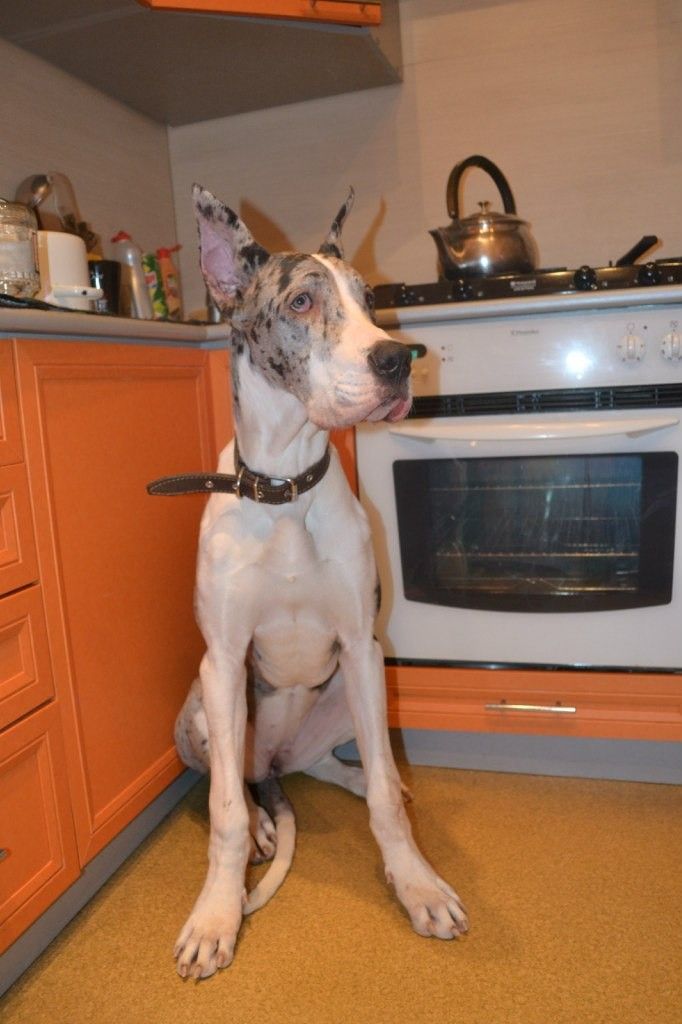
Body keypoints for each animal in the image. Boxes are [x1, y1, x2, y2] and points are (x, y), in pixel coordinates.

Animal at [161, 185, 468, 979]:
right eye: (301, 301)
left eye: (371, 300)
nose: (398, 359)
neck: (284, 488)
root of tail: (274, 759)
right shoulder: (223, 657)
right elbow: (223, 815)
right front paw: (216, 915)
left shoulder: (361, 646)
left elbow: (384, 794)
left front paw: (417, 882)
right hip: (202, 712)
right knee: (232, 787)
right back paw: (263, 827)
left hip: (353, 696)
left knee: (347, 768)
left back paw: (371, 787)